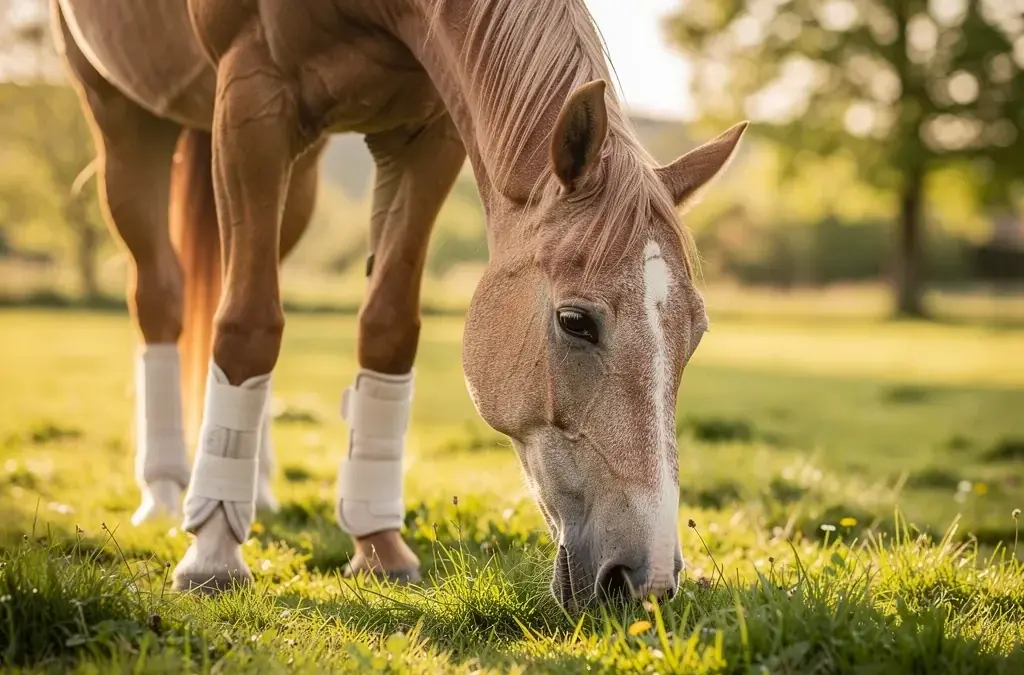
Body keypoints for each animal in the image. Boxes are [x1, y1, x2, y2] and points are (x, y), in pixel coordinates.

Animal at [51, 0, 747, 607]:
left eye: (695, 334)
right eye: (575, 321)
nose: (647, 579)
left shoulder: (425, 136)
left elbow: (386, 327)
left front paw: (378, 544)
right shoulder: (252, 102)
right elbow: (247, 326)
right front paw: (214, 552)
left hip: (297, 172)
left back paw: (254, 485)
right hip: (122, 116)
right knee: (161, 296)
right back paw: (170, 490)